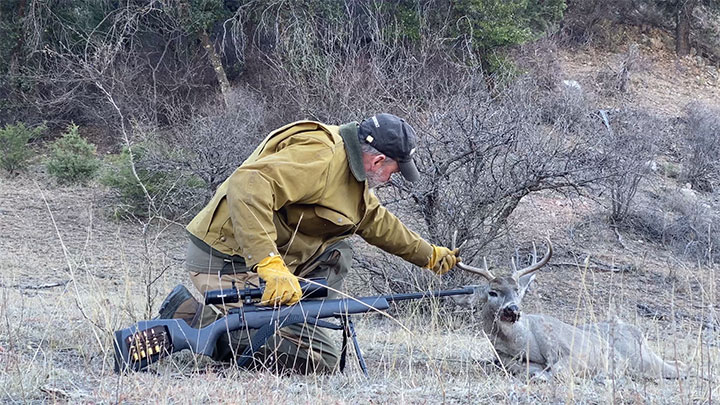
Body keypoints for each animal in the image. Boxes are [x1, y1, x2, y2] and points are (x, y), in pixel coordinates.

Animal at [453, 239, 686, 380]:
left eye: (517, 289)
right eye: (493, 292)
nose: (512, 309)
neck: (525, 343)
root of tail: (638, 333)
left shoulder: (574, 352)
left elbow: (558, 369)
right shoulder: (508, 361)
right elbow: (529, 371)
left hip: (641, 358)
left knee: (677, 367)